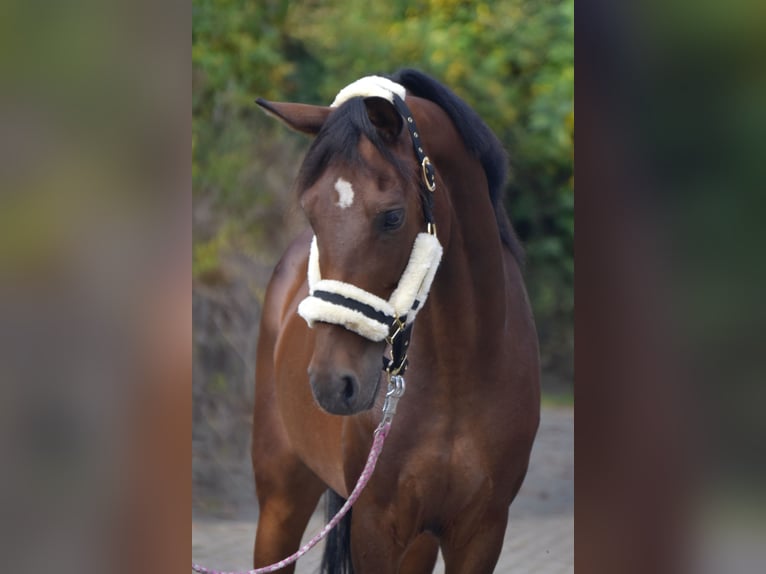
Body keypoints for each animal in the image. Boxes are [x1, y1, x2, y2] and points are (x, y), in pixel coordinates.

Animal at [252, 70, 540, 572]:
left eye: (392, 217)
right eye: (311, 212)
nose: (332, 383)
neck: (461, 369)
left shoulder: (482, 530)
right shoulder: (375, 525)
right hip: (280, 504)